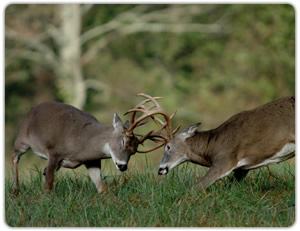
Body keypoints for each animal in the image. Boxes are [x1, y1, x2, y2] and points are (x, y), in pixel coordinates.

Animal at [11, 93, 176, 194]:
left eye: (133, 151)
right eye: (123, 141)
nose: (123, 166)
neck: (80, 141)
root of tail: (31, 109)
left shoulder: (92, 161)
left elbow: (100, 186)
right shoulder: (54, 152)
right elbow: (48, 186)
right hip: (22, 139)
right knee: (15, 157)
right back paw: (15, 190)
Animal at [157, 95, 296, 191]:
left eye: (168, 147)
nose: (160, 169)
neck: (212, 145)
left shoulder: (224, 161)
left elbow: (194, 188)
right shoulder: (241, 169)